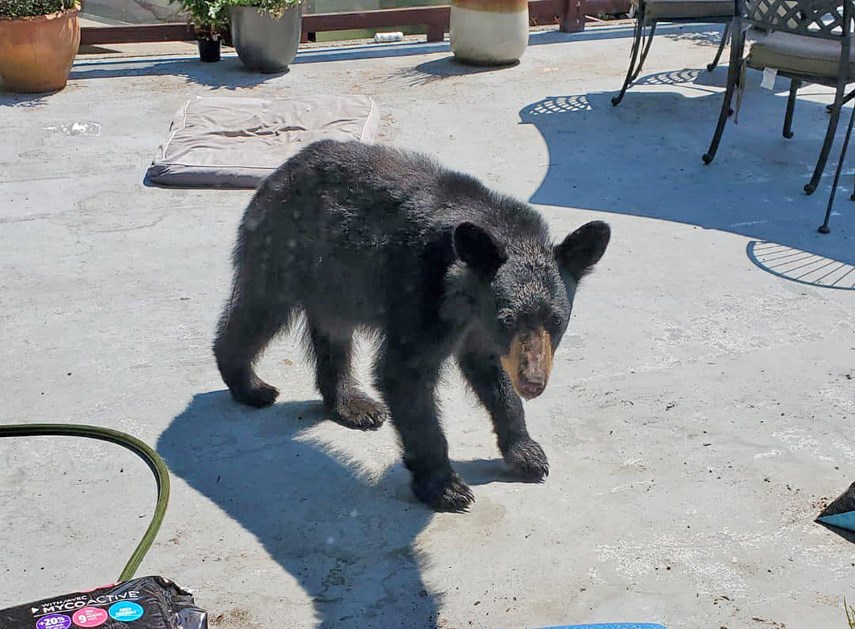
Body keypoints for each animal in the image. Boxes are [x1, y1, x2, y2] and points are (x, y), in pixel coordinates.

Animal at [216, 139, 616, 510]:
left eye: (556, 321)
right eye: (508, 319)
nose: (534, 382)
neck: (465, 295)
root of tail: (281, 169)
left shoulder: (478, 330)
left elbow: (492, 376)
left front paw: (527, 454)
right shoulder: (421, 293)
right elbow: (405, 373)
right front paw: (445, 486)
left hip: (336, 279)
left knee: (332, 330)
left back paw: (352, 404)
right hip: (283, 248)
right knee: (258, 310)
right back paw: (250, 386)